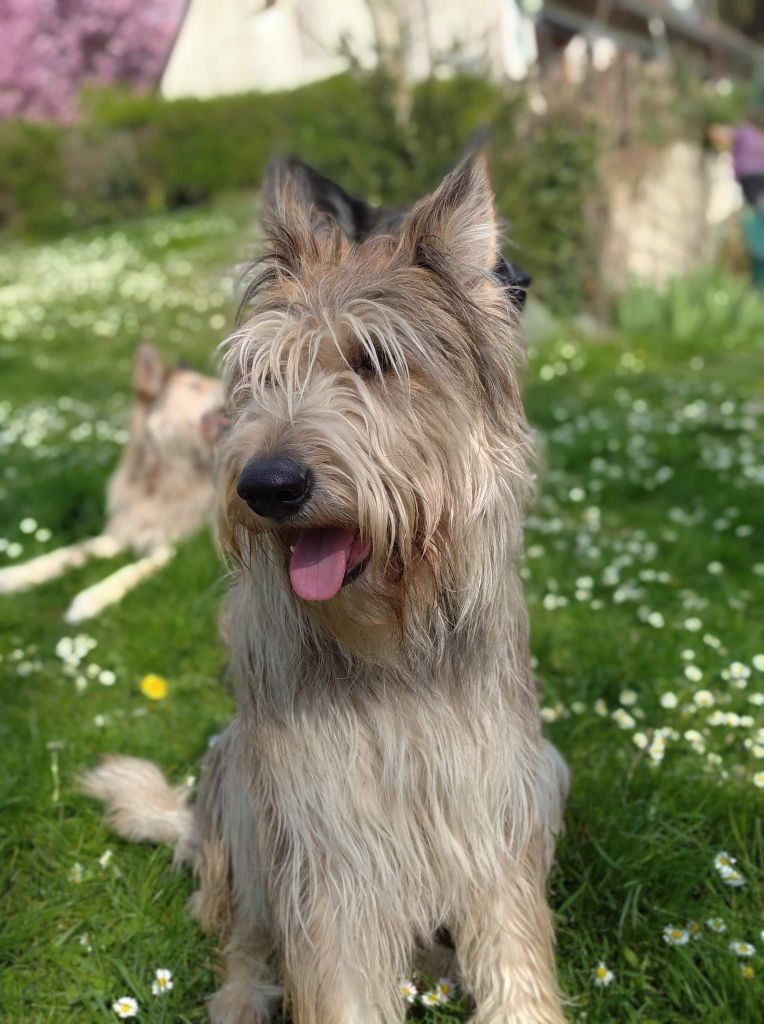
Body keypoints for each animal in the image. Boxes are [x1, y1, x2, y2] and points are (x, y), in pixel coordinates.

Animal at [0, 344, 222, 618]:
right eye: (194, 385)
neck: (160, 476)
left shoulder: (176, 549)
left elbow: (130, 571)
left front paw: (89, 600)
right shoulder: (119, 535)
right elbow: (70, 552)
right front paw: (13, 576)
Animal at [86, 153, 569, 1024]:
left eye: (375, 361)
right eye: (260, 375)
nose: (266, 486)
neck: (393, 645)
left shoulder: (494, 804)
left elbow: (514, 955)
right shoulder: (326, 835)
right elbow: (334, 975)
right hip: (238, 782)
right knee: (242, 935)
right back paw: (241, 998)